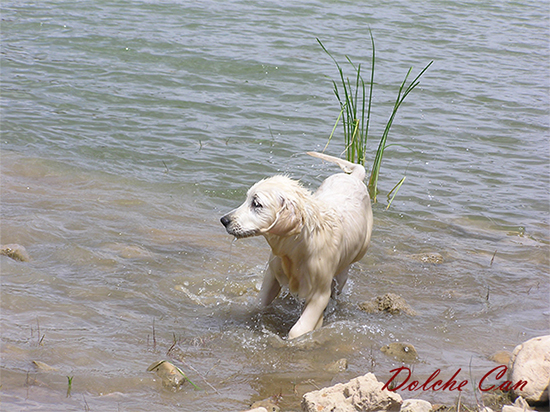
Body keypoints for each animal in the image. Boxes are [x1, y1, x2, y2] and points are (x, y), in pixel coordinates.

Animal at [221, 151, 376, 338]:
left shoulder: (319, 293)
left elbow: (298, 329)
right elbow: (260, 302)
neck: (296, 248)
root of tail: (354, 177)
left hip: (349, 264)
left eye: (256, 204)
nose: (224, 220)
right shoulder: (272, 273)